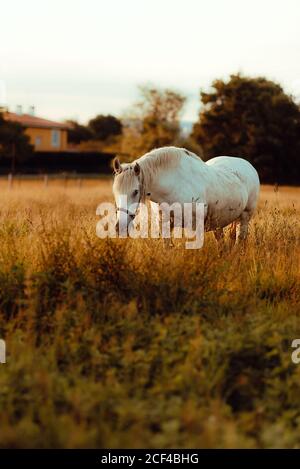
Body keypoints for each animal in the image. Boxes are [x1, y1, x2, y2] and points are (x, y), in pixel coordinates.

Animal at [112, 145, 260, 241]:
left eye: (135, 191)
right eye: (115, 191)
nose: (120, 228)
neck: (173, 185)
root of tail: (248, 166)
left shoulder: (194, 226)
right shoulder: (164, 224)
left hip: (245, 217)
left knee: (240, 240)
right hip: (219, 221)